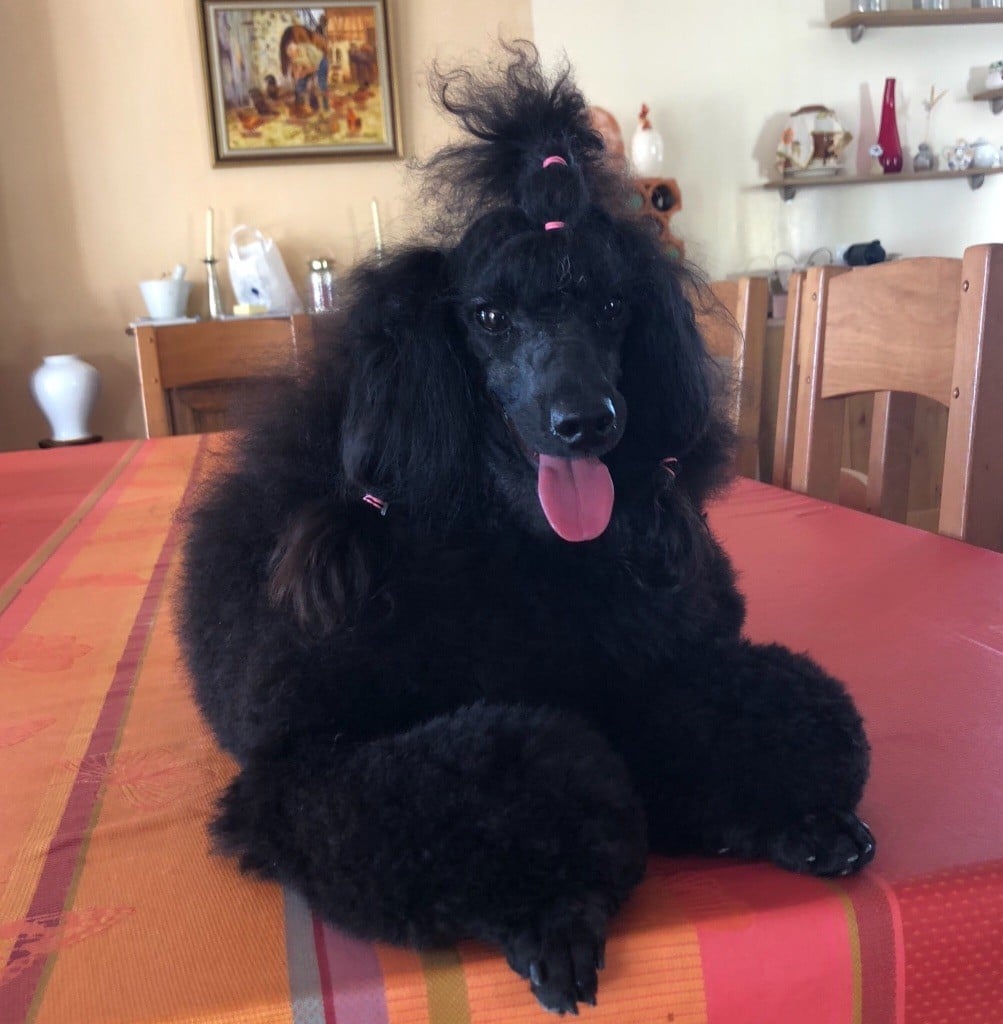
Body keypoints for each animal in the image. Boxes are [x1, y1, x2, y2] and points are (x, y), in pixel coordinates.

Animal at [177, 43, 874, 1015]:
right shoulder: (301, 768)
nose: (585, 422)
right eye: (488, 317)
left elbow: (751, 715)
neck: (513, 539)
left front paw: (800, 816)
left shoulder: (643, 667)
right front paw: (552, 908)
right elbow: (509, 780)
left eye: (614, 308)